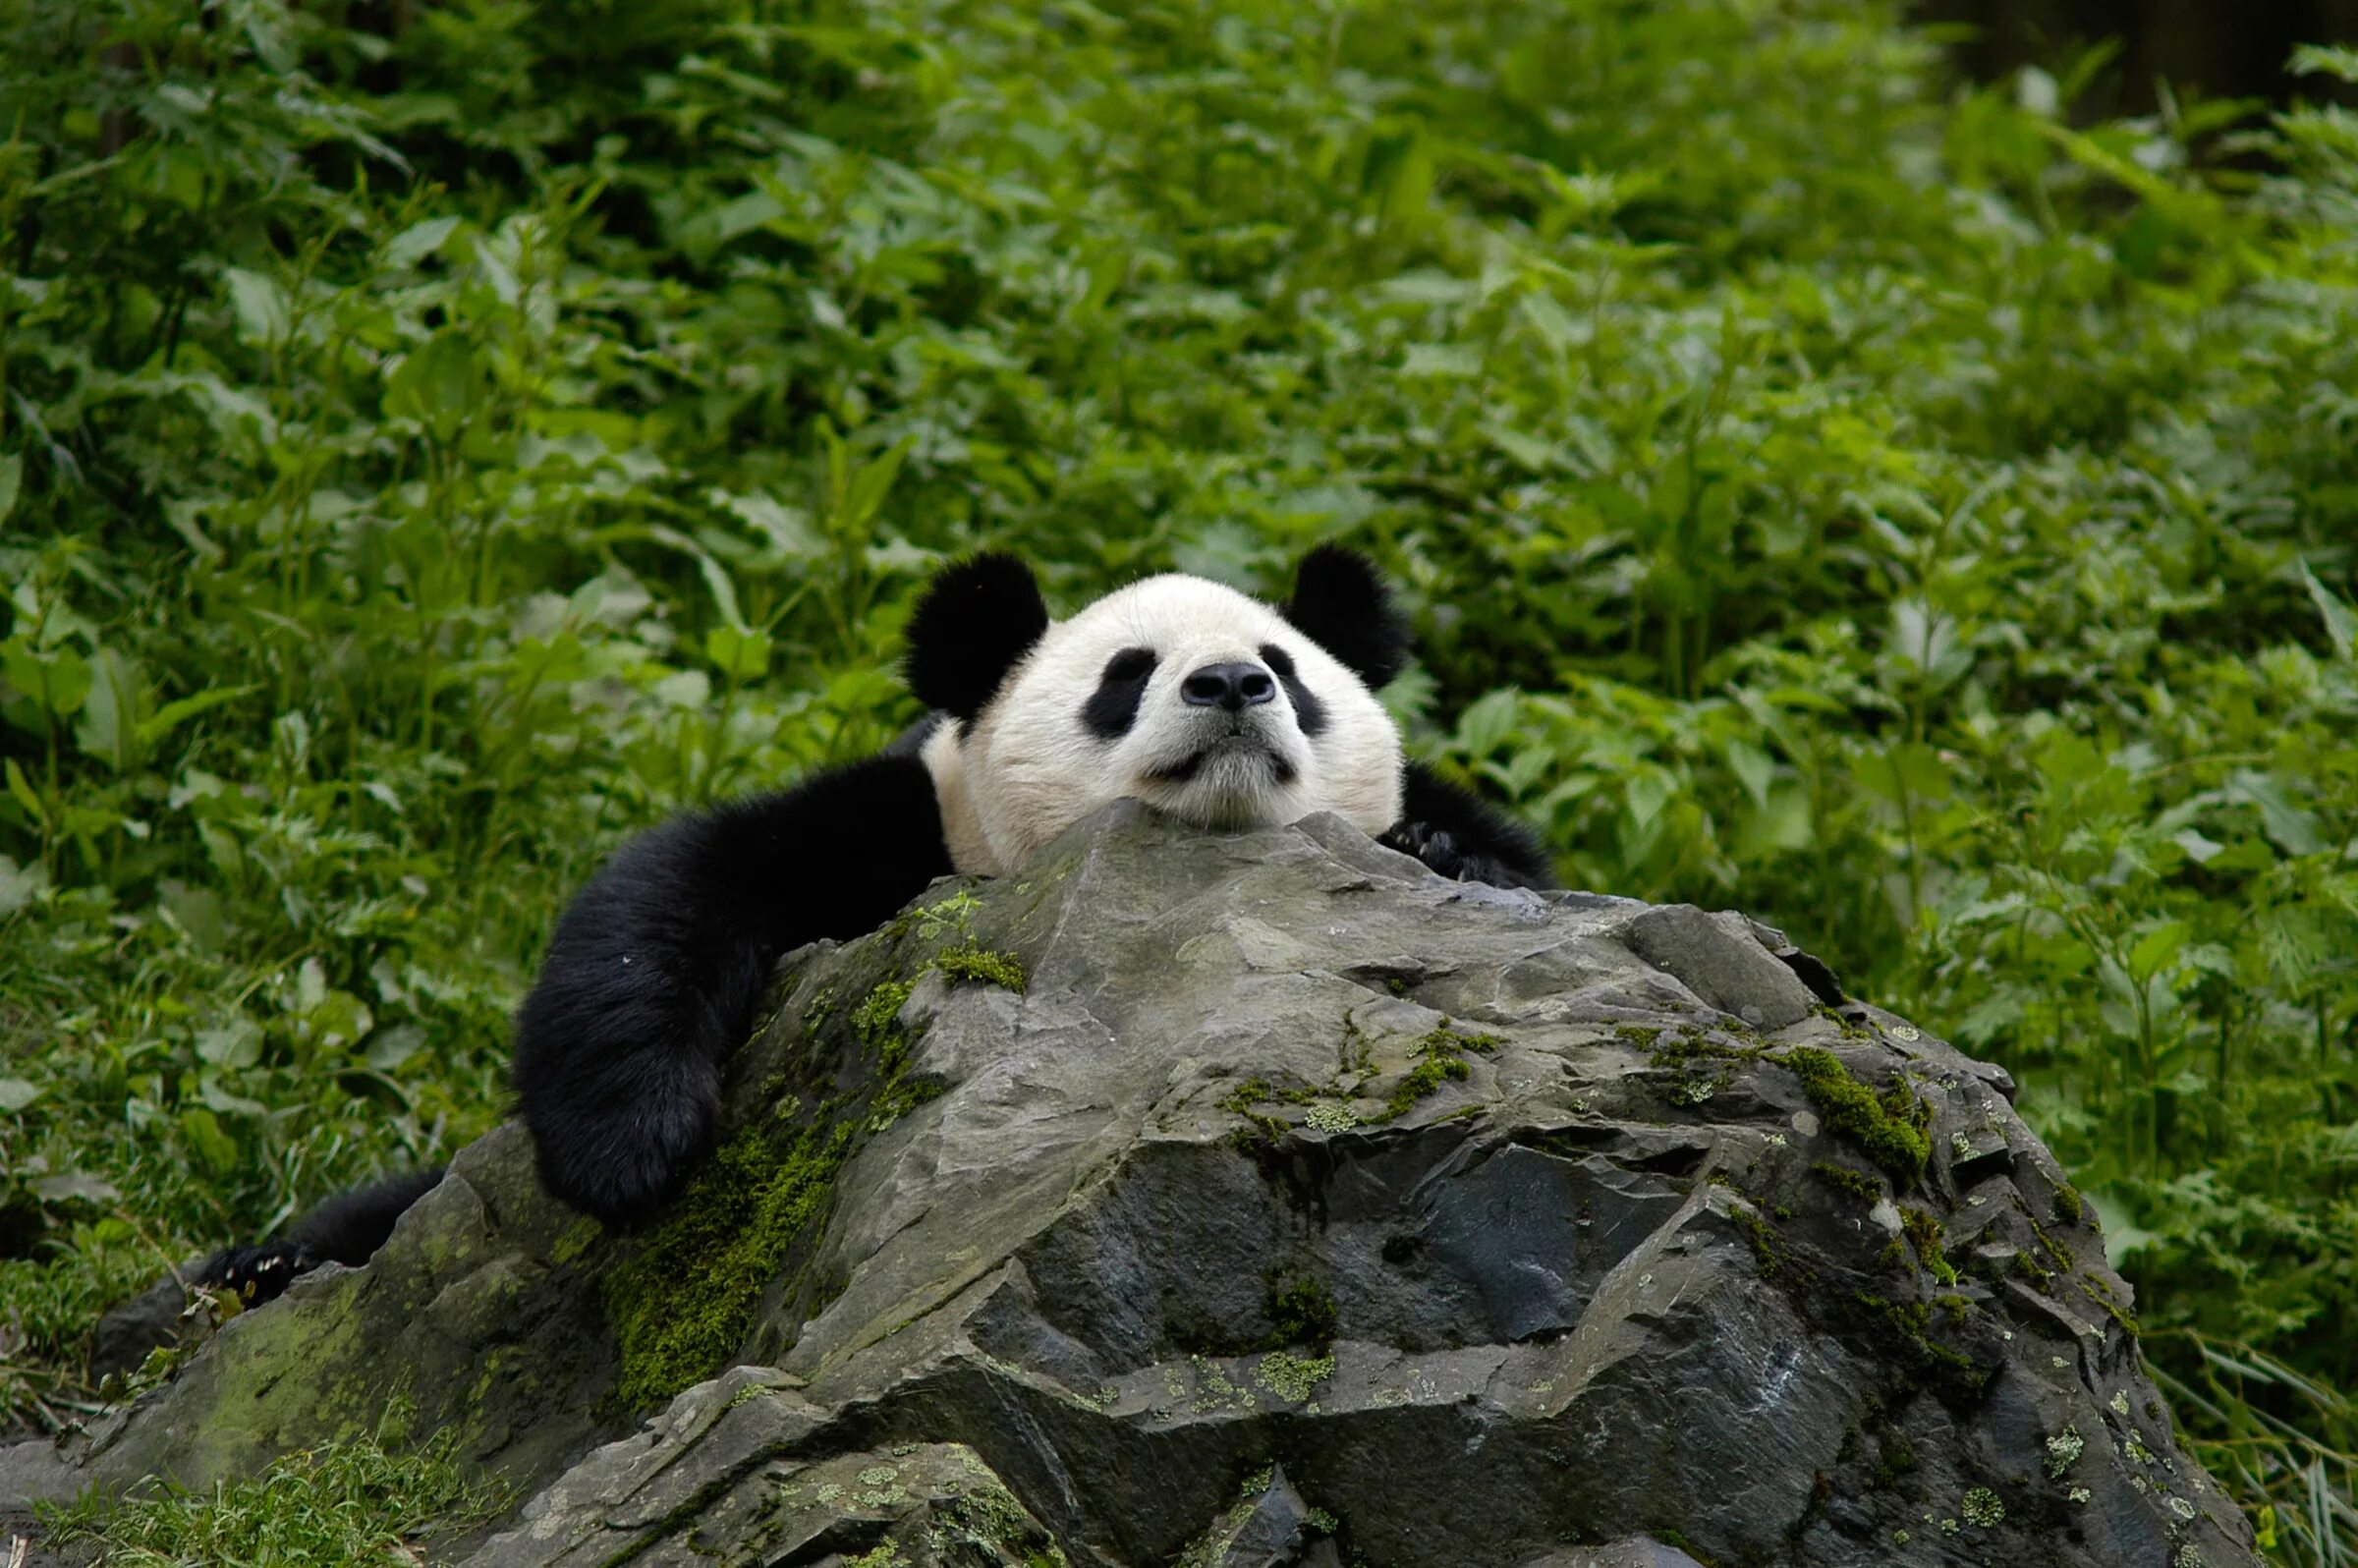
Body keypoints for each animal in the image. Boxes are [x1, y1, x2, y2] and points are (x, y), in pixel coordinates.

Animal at [202, 544, 1556, 1301]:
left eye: (1292, 668)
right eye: (1125, 676)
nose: (1232, 685)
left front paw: (1445, 857)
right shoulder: (915, 830)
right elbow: (679, 885)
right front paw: (634, 1146)